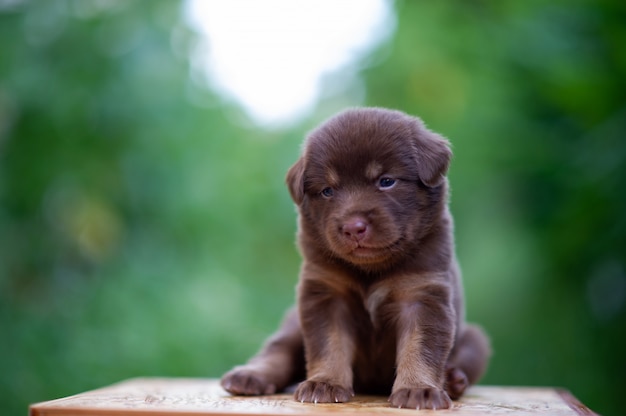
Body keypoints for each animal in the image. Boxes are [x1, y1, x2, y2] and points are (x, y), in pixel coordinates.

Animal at [219, 107, 488, 410]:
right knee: (278, 349)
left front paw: (418, 389)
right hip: (293, 323)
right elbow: (329, 344)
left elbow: (420, 346)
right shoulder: (325, 293)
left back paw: (453, 380)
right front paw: (324, 383)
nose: (353, 227)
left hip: (476, 340)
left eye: (386, 181)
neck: (370, 270)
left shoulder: (422, 293)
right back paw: (249, 376)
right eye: (327, 190)